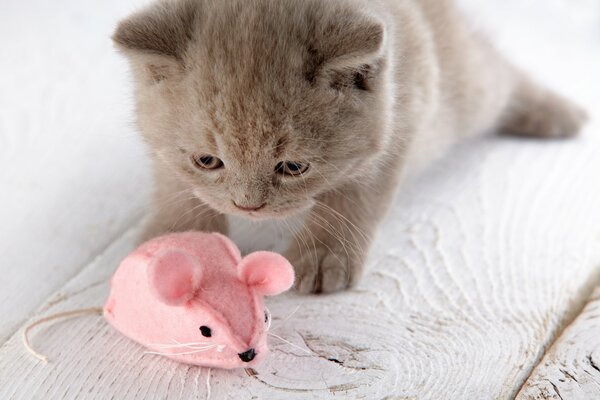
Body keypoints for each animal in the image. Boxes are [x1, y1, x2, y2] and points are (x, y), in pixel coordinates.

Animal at [112, 0, 584, 294]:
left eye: (293, 167)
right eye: (207, 160)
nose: (248, 207)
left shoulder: (403, 116)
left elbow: (354, 196)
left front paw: (324, 256)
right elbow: (175, 185)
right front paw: (179, 243)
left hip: (466, 88)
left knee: (502, 75)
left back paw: (557, 113)